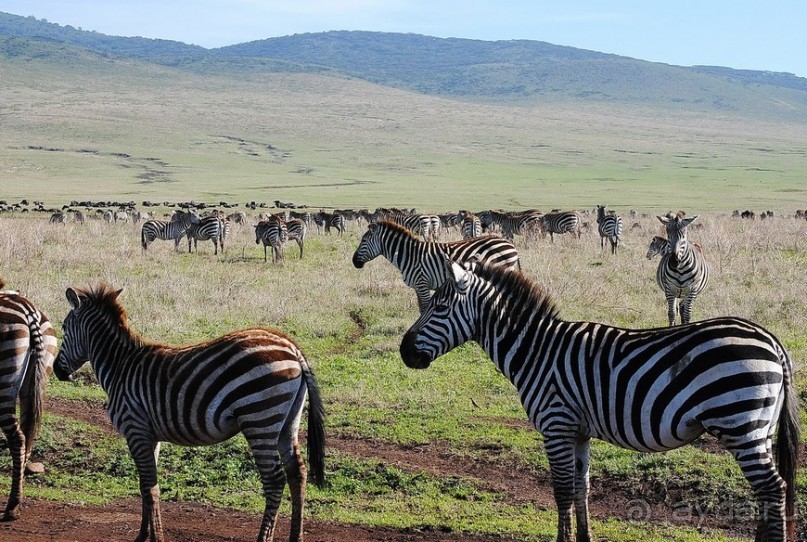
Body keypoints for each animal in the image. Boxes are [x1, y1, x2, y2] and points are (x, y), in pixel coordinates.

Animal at [52, 284, 328, 542]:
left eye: (64, 327)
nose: (56, 371)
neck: (120, 367)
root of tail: (292, 347)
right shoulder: (150, 436)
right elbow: (146, 486)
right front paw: (143, 535)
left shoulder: (135, 429)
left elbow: (149, 487)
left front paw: (156, 537)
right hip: (287, 421)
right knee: (297, 473)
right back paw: (296, 536)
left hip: (260, 418)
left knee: (274, 480)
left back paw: (264, 537)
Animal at [350, 221, 520, 314]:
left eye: (363, 240)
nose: (354, 262)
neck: (409, 255)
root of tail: (511, 245)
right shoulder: (418, 287)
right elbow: (421, 308)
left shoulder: (422, 283)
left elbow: (424, 309)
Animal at [400, 260, 800, 542]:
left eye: (439, 307)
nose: (404, 352)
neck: (537, 351)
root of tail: (771, 340)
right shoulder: (578, 431)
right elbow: (582, 487)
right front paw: (584, 538)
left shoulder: (556, 424)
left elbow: (561, 490)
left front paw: (562, 541)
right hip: (759, 428)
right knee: (767, 492)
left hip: (740, 423)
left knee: (773, 488)